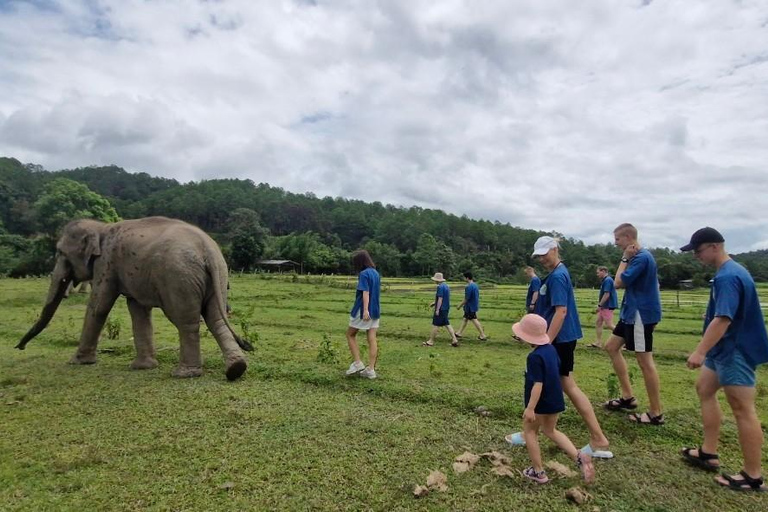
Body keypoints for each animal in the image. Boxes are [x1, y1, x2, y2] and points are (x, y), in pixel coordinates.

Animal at [17, 215, 252, 380]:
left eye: (60, 253)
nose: (19, 347)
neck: (100, 227)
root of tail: (208, 249)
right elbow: (138, 310)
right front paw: (142, 367)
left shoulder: (106, 263)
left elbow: (99, 306)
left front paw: (77, 361)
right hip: (217, 277)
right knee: (215, 318)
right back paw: (236, 369)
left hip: (179, 278)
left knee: (186, 321)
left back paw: (184, 374)